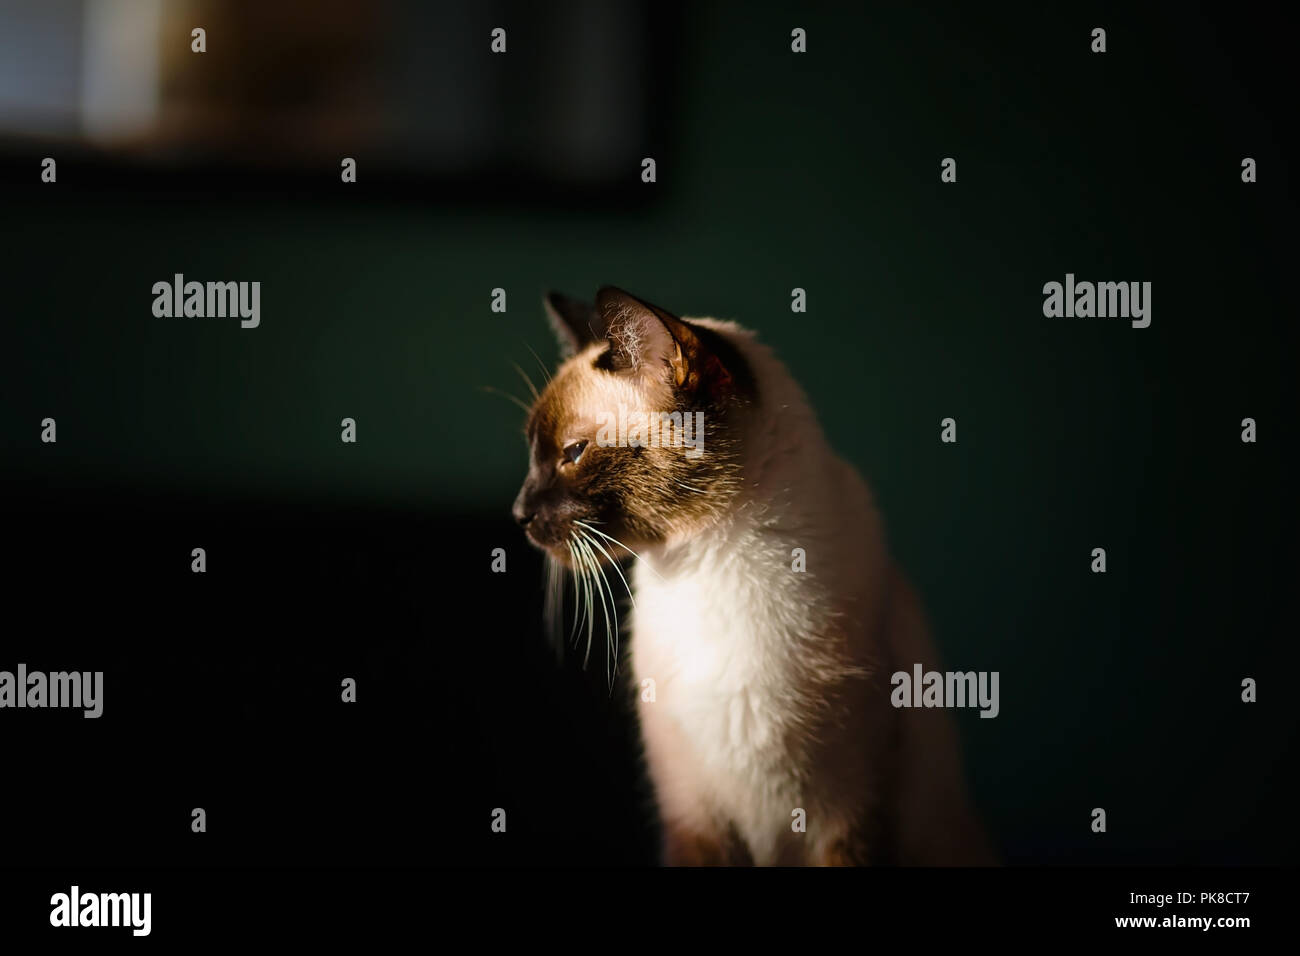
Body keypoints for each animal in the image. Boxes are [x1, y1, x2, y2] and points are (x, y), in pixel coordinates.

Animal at [509, 286, 993, 868]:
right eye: (534, 455)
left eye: (574, 453)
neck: (705, 566)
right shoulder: (694, 824)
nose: (518, 514)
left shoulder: (851, 821)